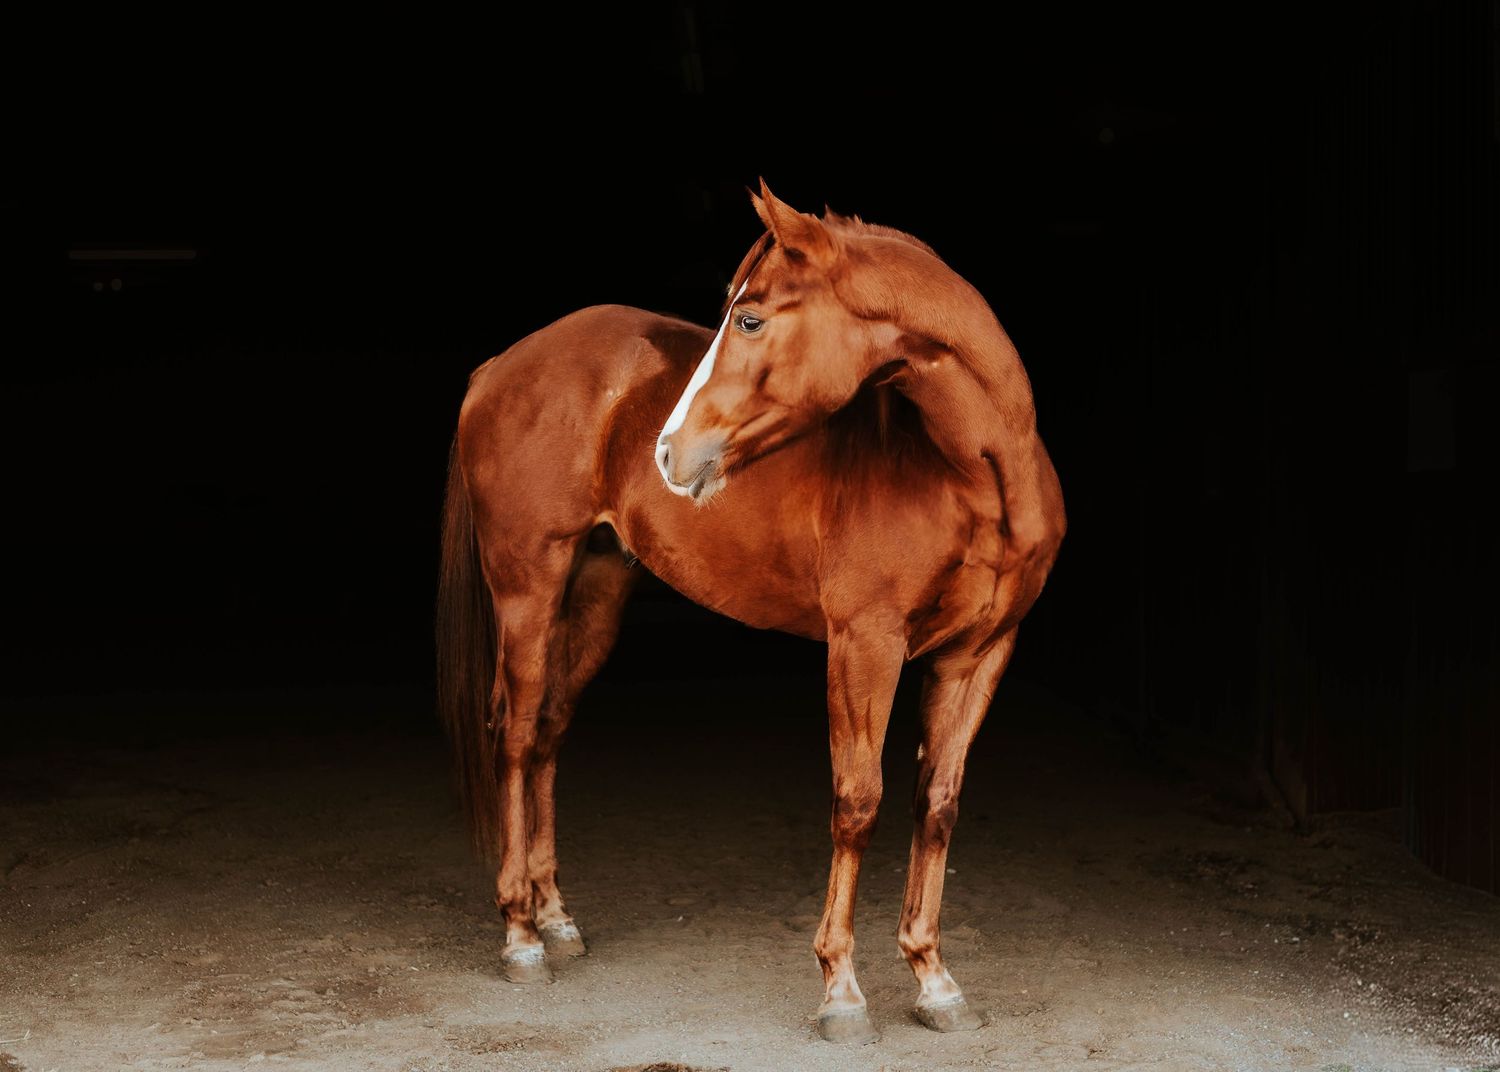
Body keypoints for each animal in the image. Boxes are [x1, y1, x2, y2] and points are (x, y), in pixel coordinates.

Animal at [437, 180, 1066, 1043]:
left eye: (753, 319)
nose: (670, 452)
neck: (976, 475)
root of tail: (499, 366)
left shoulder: (981, 652)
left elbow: (938, 803)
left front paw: (934, 978)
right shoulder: (864, 644)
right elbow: (857, 801)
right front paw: (841, 990)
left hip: (596, 590)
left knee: (551, 735)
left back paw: (556, 916)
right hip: (529, 585)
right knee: (518, 732)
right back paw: (520, 934)